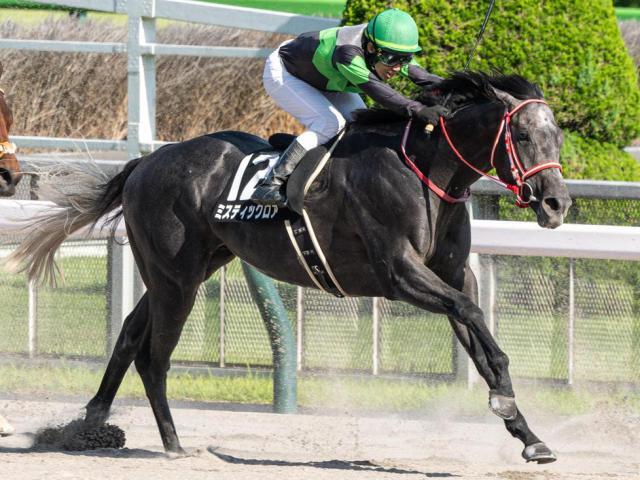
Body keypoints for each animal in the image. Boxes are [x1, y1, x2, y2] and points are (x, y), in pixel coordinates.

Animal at [8, 73, 568, 464]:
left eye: (557, 135)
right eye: (521, 135)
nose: (556, 203)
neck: (425, 170)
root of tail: (145, 162)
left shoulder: (451, 275)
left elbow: (481, 339)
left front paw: (528, 434)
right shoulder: (400, 275)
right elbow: (471, 313)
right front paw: (505, 407)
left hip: (186, 270)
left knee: (127, 335)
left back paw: (87, 427)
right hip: (176, 279)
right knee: (153, 356)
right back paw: (172, 443)